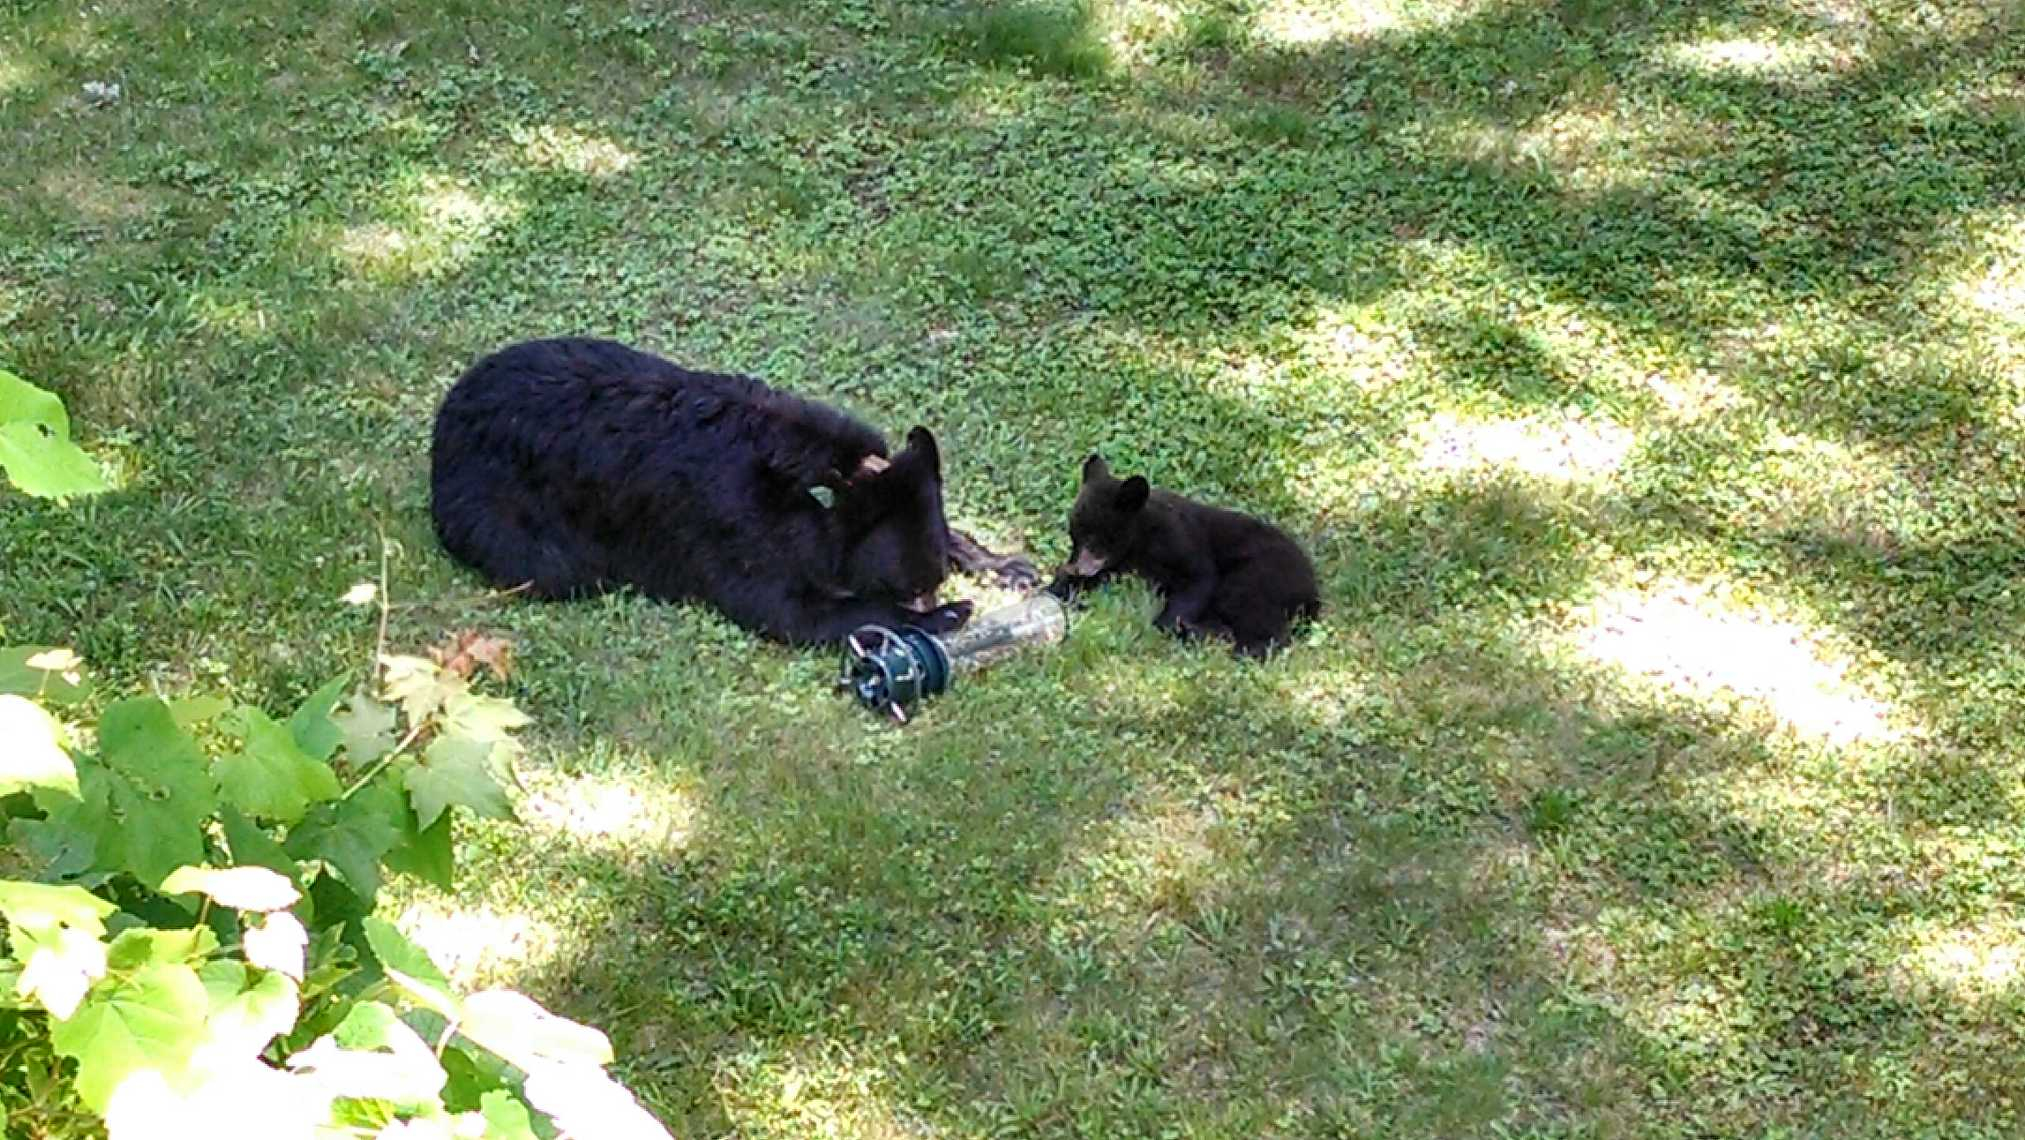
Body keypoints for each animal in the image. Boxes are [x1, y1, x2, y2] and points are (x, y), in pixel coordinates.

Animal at [423, 336, 1028, 643]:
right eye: (912, 587)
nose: (932, 597)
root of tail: (445, 418)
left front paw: (1002, 563)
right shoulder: (730, 522)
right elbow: (793, 611)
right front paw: (941, 617)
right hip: (506, 521)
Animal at [1053, 453, 1320, 652]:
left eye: (1094, 536)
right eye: (1073, 536)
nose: (1076, 566)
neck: (1139, 539)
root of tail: (1311, 589)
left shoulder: (1177, 537)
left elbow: (1198, 578)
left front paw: (1168, 624)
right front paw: (1059, 586)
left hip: (1264, 572)